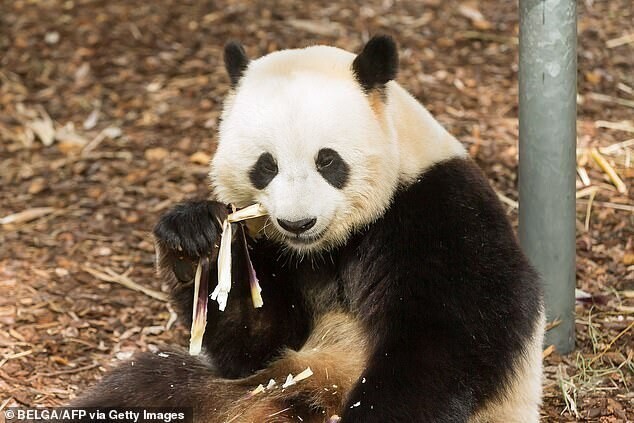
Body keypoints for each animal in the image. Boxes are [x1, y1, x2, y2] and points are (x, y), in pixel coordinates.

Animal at [73, 37, 544, 423]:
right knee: (147, 388)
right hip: (228, 392)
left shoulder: (438, 212)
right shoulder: (273, 252)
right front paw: (195, 240)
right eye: (266, 165)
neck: (330, 246)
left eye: (328, 160)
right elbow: (253, 343)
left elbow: (446, 339)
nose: (297, 223)